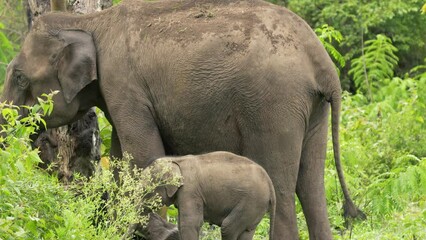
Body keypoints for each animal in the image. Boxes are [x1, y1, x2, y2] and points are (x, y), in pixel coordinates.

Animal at [1, 0, 364, 238]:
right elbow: (121, 162)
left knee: (283, 189)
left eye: (19, 77)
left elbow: (143, 155)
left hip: (274, 105)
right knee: (311, 187)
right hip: (311, 110)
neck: (93, 22)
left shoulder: (124, 84)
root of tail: (323, 64)